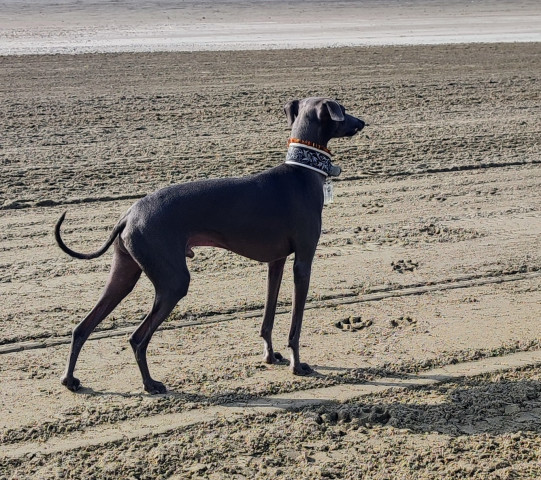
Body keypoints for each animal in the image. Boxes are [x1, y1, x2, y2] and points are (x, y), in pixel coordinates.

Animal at [56, 97, 362, 394]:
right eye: (343, 109)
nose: (362, 122)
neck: (301, 171)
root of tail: (129, 214)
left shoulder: (276, 262)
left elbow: (268, 316)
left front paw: (270, 355)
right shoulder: (303, 262)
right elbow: (295, 326)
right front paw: (297, 366)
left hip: (125, 274)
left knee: (82, 328)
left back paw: (70, 380)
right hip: (173, 282)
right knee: (136, 338)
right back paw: (150, 384)